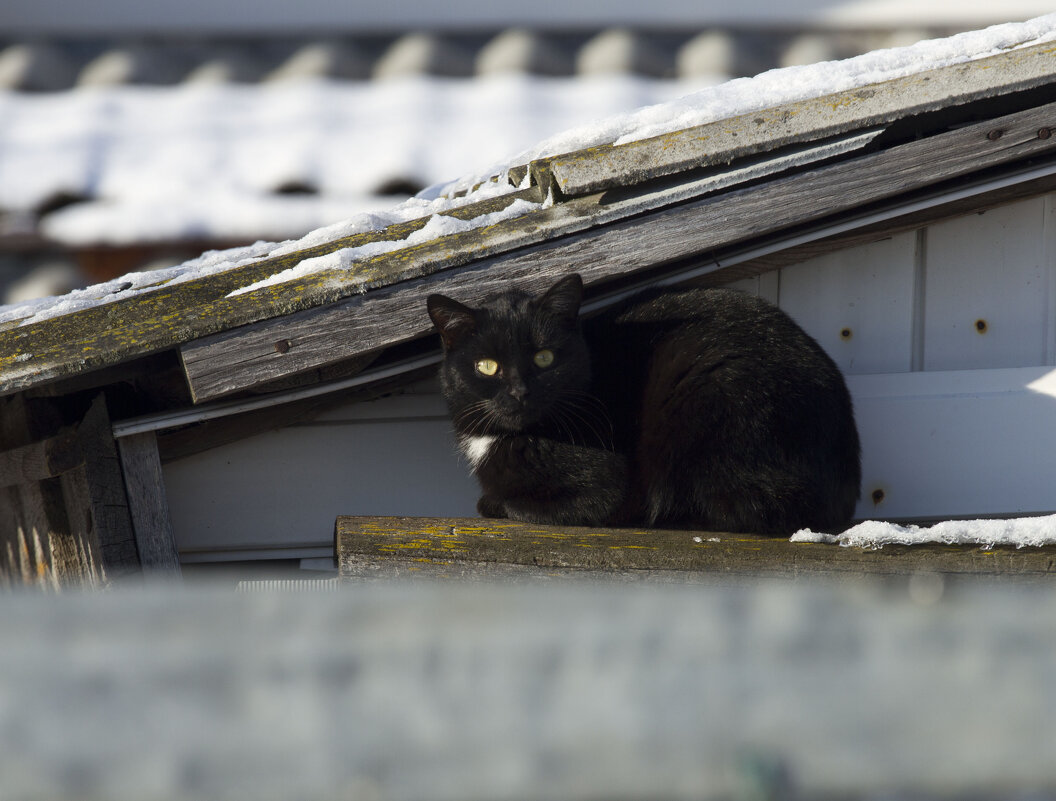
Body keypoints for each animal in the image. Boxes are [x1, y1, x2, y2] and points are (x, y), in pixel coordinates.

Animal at [424, 272, 861, 536]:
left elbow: (519, 505)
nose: (519, 392)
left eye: (544, 358)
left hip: (717, 399)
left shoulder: (605, 485)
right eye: (486, 366)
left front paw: (496, 502)